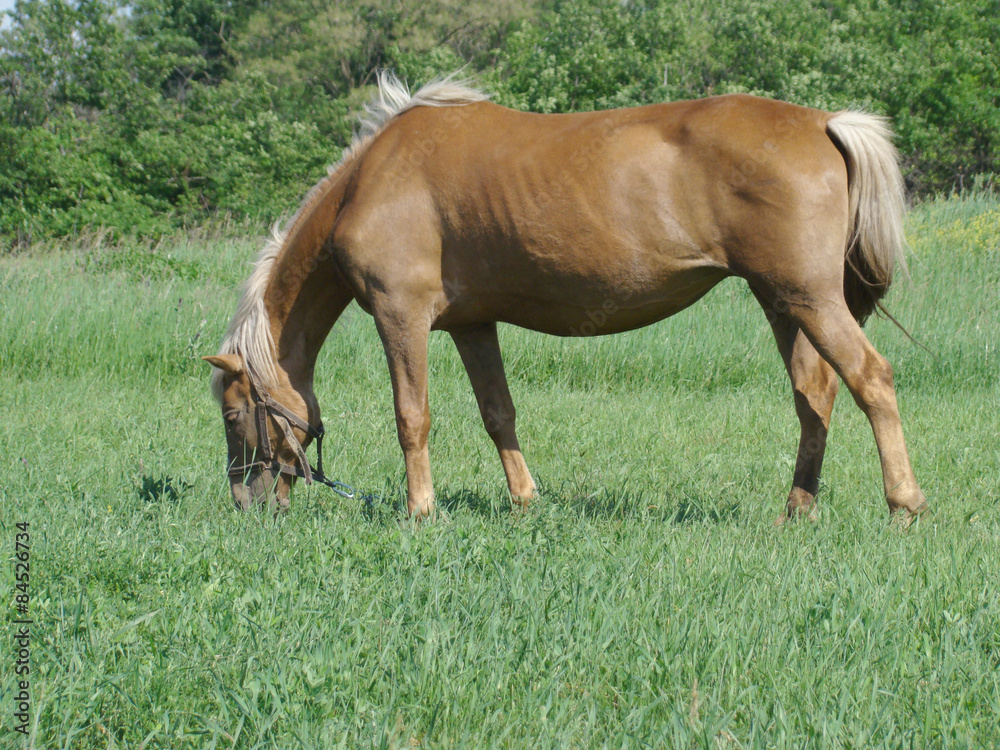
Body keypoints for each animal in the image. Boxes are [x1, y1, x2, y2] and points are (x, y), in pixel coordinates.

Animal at [205, 72, 927, 524]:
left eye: (235, 415)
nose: (246, 505)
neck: (370, 183)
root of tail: (825, 122)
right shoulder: (472, 324)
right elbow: (499, 413)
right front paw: (525, 502)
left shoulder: (398, 316)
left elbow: (412, 416)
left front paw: (420, 511)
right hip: (783, 305)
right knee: (815, 398)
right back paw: (797, 511)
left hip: (809, 301)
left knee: (871, 379)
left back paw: (904, 505)